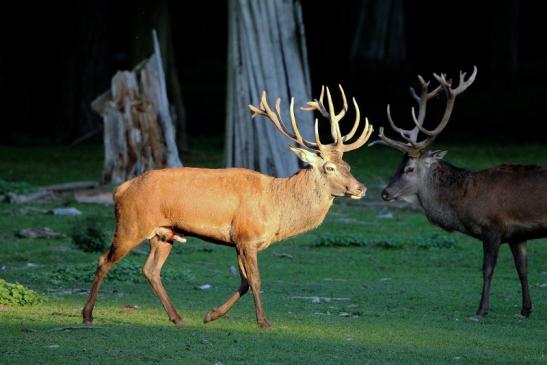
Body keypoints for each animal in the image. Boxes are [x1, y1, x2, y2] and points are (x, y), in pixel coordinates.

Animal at [82, 85, 372, 328]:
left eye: (348, 165)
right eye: (329, 167)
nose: (361, 188)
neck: (277, 209)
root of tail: (120, 190)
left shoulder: (240, 241)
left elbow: (243, 282)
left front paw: (211, 315)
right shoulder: (246, 236)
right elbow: (255, 280)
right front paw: (263, 322)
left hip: (164, 234)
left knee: (150, 270)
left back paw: (177, 317)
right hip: (131, 225)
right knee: (103, 260)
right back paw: (87, 315)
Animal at [372, 67, 547, 320]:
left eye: (409, 168)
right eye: (398, 165)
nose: (385, 193)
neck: (464, 203)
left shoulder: (492, 227)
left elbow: (487, 269)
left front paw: (481, 310)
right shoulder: (517, 234)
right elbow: (522, 269)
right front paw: (525, 309)